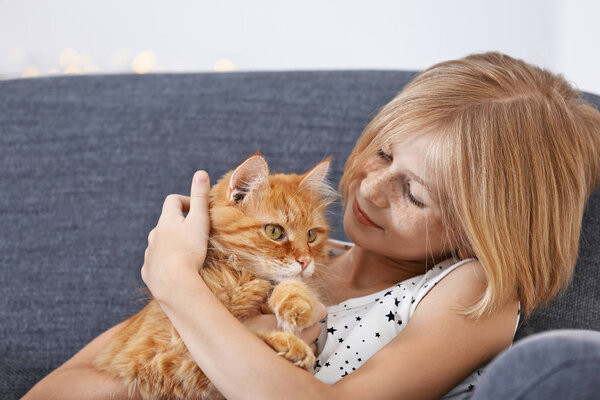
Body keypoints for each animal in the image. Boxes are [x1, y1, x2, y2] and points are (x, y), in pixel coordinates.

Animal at [95, 154, 338, 400]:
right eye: (274, 231)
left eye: (311, 235)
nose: (305, 261)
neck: (241, 277)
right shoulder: (158, 357)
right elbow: (247, 337)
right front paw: (290, 346)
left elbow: (291, 286)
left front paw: (297, 304)